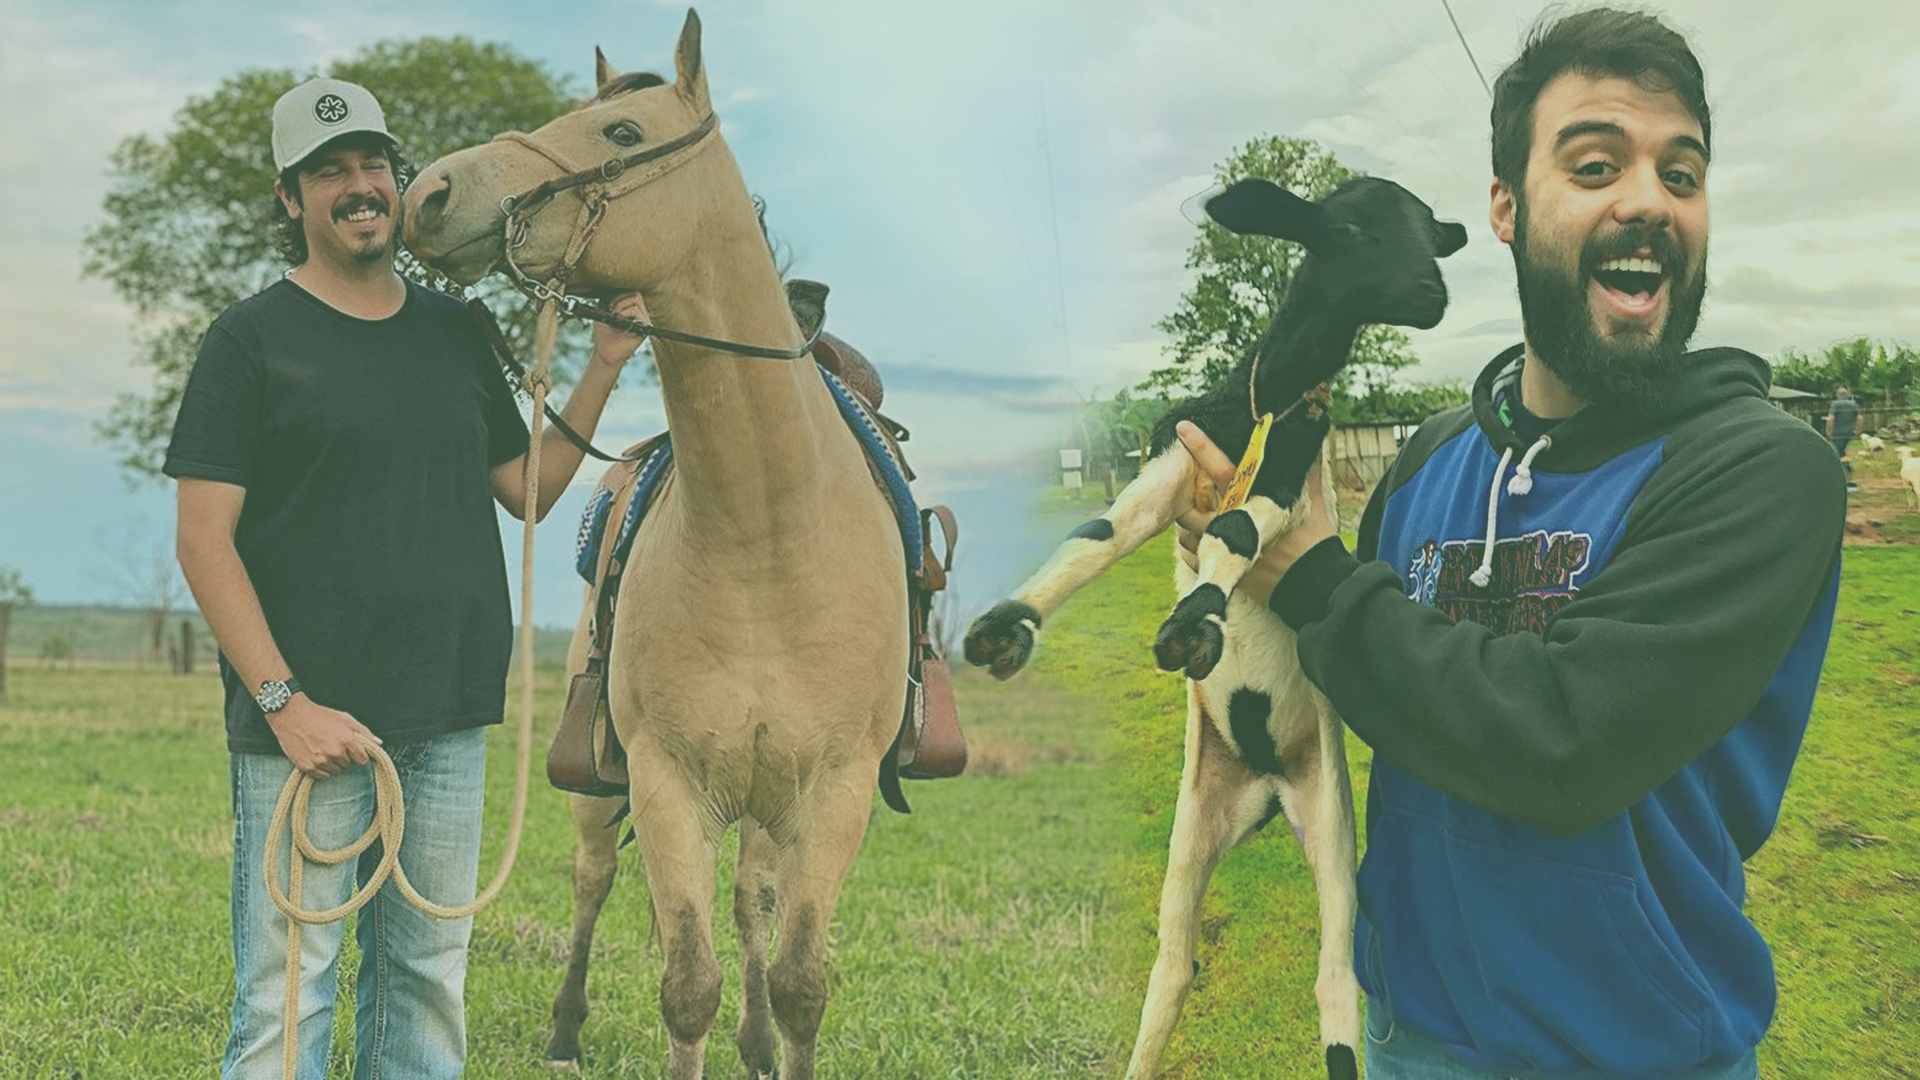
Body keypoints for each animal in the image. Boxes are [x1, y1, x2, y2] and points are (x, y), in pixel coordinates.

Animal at [403, 10, 906, 1076]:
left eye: (624, 133)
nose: (430, 193)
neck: (766, 540)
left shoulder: (832, 794)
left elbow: (799, 983)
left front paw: (771, 1032)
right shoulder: (668, 783)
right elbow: (687, 986)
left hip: (764, 807)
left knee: (753, 902)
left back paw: (753, 1041)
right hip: (606, 791)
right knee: (594, 880)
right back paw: (565, 1027)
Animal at [967, 176, 1459, 1076]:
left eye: (1426, 235)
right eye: (1346, 229)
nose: (1431, 293)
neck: (1266, 399)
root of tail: (1264, 788)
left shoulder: (1286, 480)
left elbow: (1234, 532)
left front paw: (1192, 624)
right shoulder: (1170, 468)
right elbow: (1096, 535)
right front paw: (1005, 627)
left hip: (1333, 827)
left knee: (1335, 983)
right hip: (1192, 830)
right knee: (1173, 964)